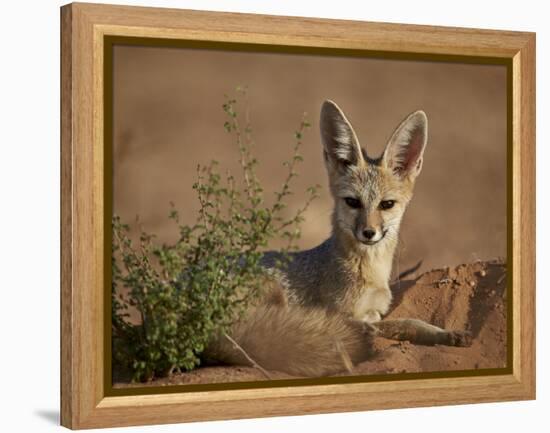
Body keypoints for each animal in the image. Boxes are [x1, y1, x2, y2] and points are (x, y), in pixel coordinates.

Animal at [205, 99, 472, 376]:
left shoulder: (376, 310)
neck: (370, 271)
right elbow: (398, 323)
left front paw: (445, 333)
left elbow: (407, 320)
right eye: (352, 202)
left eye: (386, 204)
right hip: (274, 293)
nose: (369, 232)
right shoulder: (345, 313)